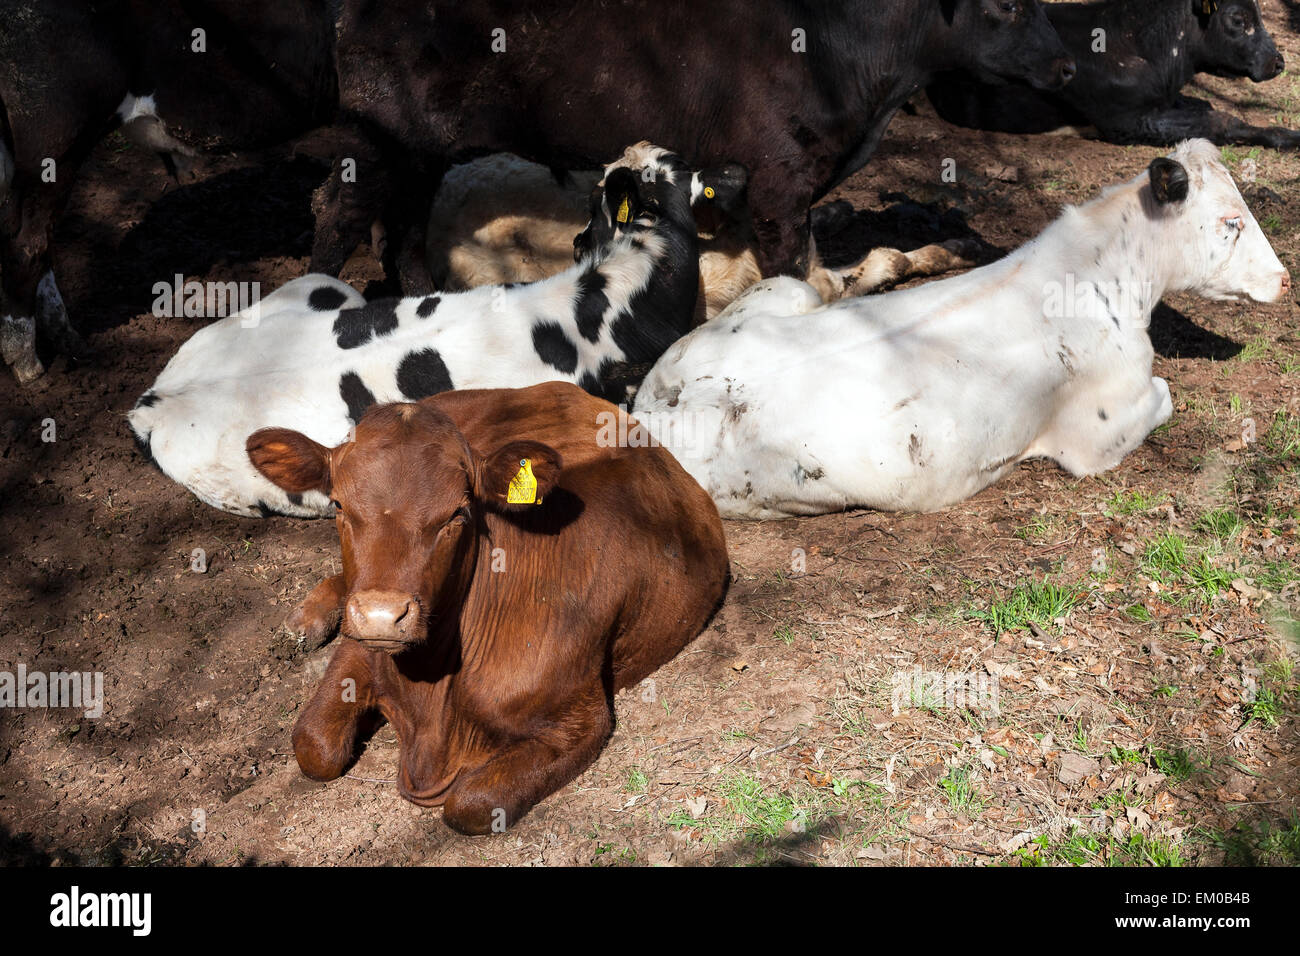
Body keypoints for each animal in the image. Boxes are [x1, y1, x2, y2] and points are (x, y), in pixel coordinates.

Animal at [244, 382, 730, 833]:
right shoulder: (362, 645)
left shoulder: (582, 717)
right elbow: (313, 744)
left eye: (458, 513)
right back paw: (306, 619)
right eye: (338, 505)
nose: (383, 614)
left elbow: (469, 805)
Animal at [311, 0, 1074, 295]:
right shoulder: (779, 183)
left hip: (418, 157)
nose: (1069, 66)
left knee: (400, 233)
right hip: (376, 142)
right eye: (1007, 6)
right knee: (336, 216)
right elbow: (799, 281)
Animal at [632, 140, 1290, 518]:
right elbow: (1166, 392)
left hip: (783, 295)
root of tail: (661, 405)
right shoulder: (1101, 432)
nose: (1284, 280)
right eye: (1231, 221)